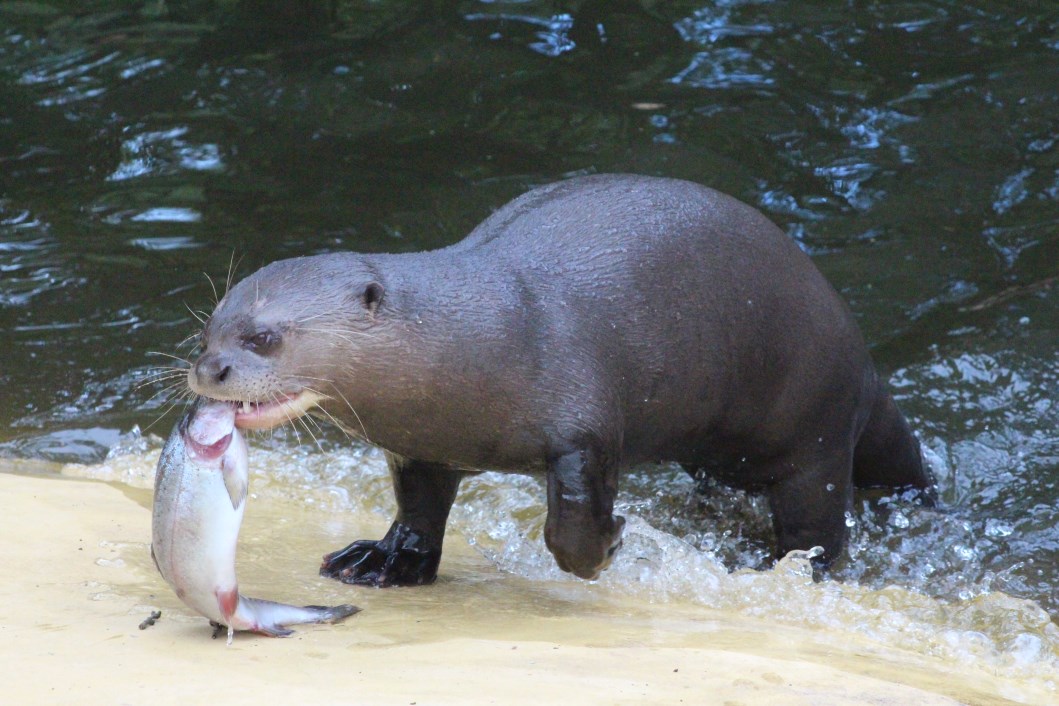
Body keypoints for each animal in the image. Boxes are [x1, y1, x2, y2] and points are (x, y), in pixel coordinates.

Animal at [186, 174, 933, 586]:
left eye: (264, 338)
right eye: (208, 329)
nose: (209, 370)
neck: (486, 335)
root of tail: (861, 362)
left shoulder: (586, 426)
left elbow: (571, 522)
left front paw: (608, 548)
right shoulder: (421, 447)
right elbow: (419, 508)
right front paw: (387, 561)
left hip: (815, 429)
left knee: (819, 526)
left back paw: (789, 571)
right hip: (726, 451)